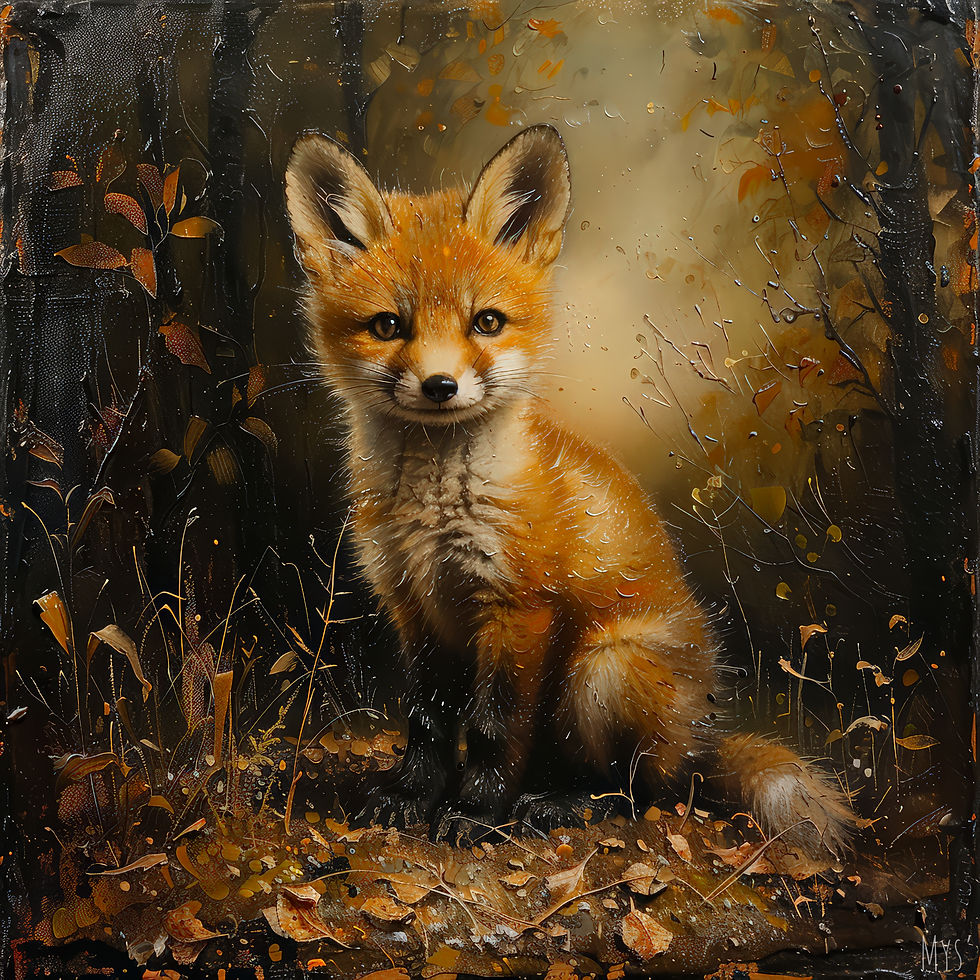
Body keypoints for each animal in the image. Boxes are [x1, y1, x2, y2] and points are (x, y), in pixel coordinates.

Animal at [284, 124, 857, 854]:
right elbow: (429, 724)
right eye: (388, 325)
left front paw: (476, 812)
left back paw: (564, 803)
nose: (441, 386)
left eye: (486, 322)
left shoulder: (519, 606)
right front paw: (412, 796)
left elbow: (493, 729)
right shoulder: (415, 606)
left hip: (603, 668)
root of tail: (698, 742)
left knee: (646, 792)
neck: (438, 513)